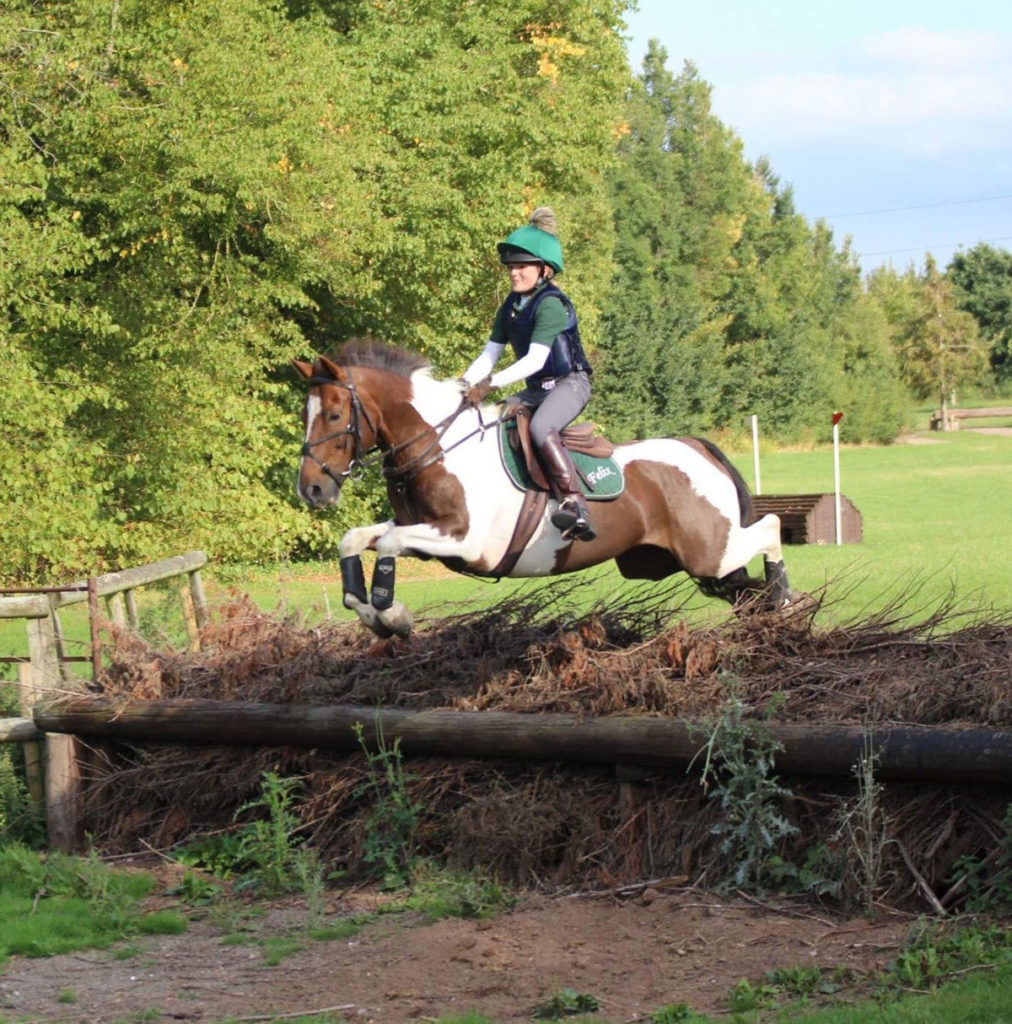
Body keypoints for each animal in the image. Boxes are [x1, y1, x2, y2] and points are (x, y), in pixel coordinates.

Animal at [292, 339, 790, 634]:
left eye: (334, 415)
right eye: (305, 415)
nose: (312, 490)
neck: (437, 444)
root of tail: (697, 446)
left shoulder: (465, 541)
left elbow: (389, 545)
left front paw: (392, 615)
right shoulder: (422, 531)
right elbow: (355, 540)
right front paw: (368, 611)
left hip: (708, 551)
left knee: (770, 527)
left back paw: (784, 600)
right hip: (662, 562)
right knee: (744, 584)